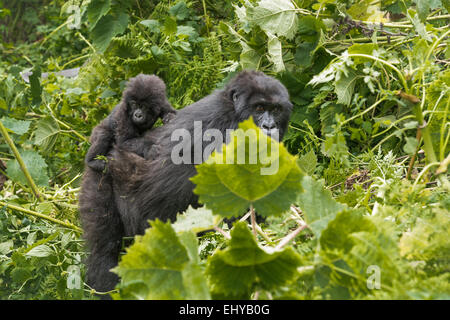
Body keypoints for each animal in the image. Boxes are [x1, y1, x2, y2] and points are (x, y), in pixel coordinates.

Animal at [79, 70, 294, 292]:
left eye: (276, 110)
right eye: (259, 108)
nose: (269, 126)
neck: (233, 109)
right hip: (102, 177)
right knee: (104, 249)